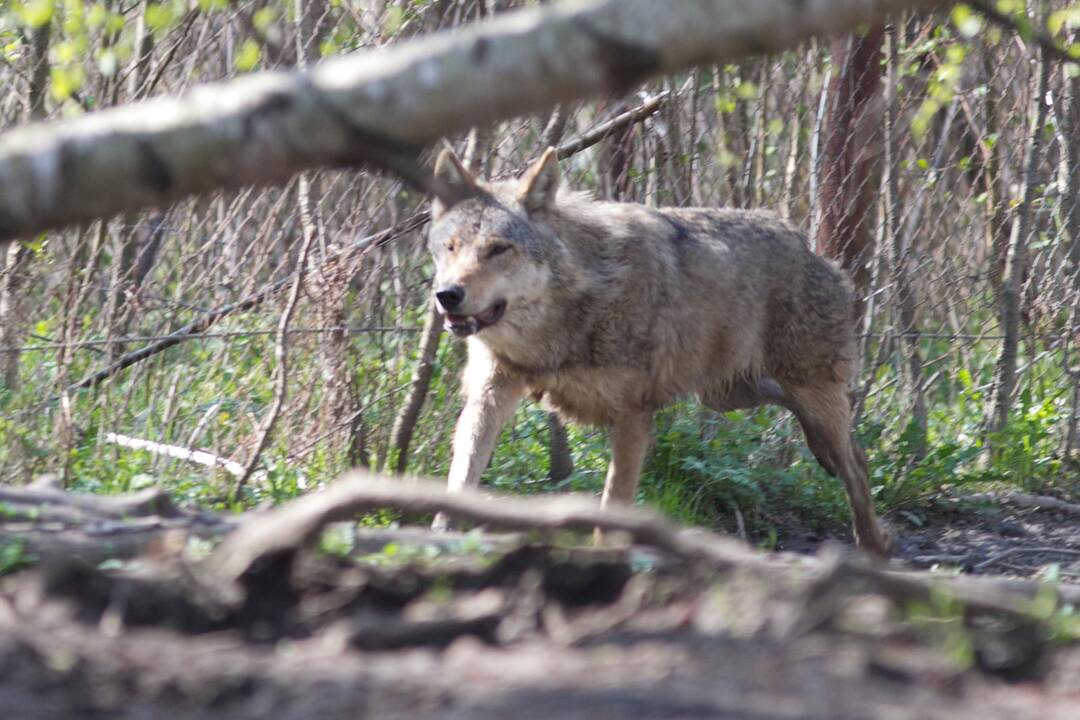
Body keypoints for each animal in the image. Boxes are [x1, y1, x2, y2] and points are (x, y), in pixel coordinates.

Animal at [425, 143, 889, 557]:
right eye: (450, 247)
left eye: (498, 249)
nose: (447, 295)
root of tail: (810, 247)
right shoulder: (490, 392)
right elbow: (462, 473)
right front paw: (439, 538)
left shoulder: (634, 412)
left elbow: (613, 502)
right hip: (730, 395)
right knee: (846, 443)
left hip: (803, 392)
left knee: (855, 465)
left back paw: (873, 548)